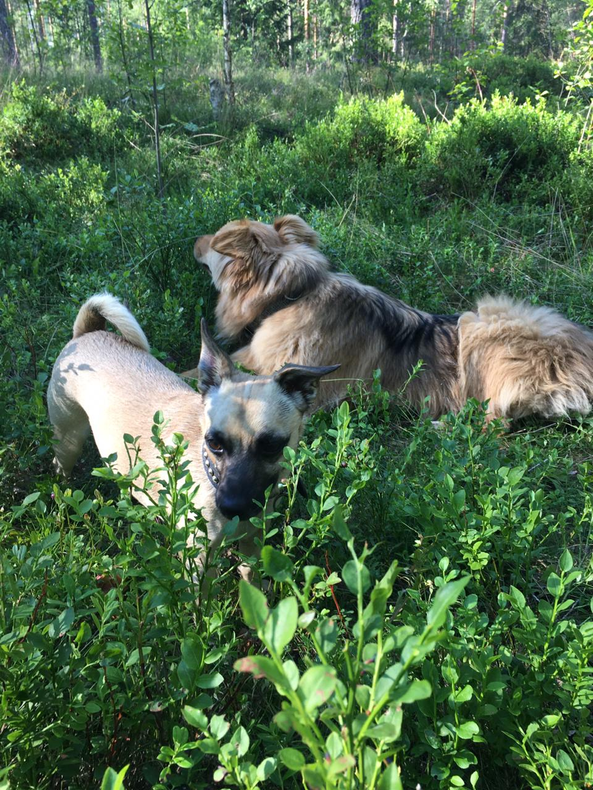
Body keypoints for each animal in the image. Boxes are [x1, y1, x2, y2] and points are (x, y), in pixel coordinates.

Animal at [47, 294, 338, 580]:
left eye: (272, 446)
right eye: (214, 443)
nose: (231, 506)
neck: (211, 475)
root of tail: (89, 332)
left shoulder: (253, 544)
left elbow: (251, 578)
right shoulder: (200, 564)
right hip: (69, 442)